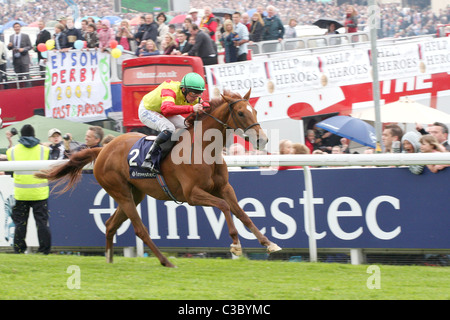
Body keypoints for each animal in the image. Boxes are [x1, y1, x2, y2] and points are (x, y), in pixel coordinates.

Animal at [36, 89, 282, 266]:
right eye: (240, 113)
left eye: (255, 111)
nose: (262, 139)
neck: (203, 148)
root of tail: (103, 149)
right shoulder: (192, 195)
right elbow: (224, 206)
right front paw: (235, 244)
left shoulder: (224, 187)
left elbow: (242, 213)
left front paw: (269, 244)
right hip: (121, 192)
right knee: (140, 229)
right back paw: (165, 261)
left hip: (134, 194)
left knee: (110, 224)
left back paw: (109, 259)